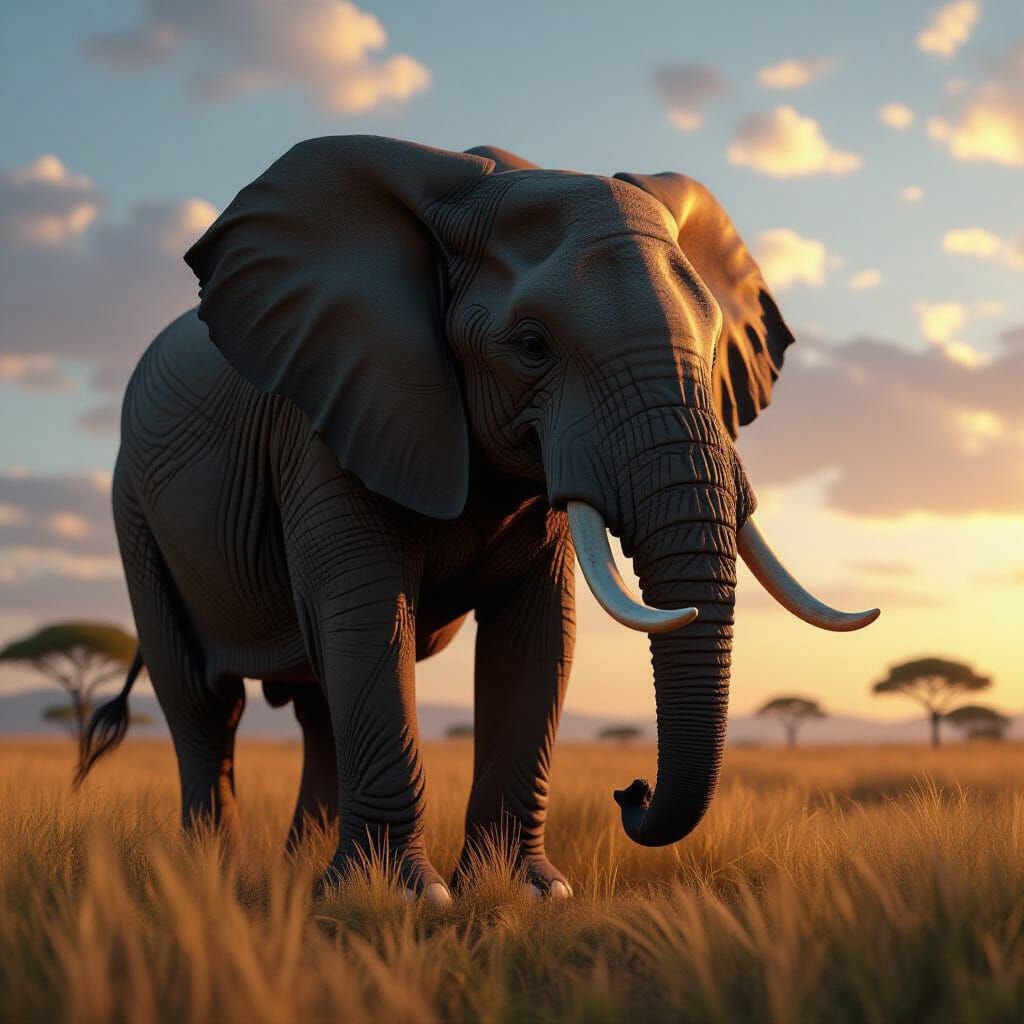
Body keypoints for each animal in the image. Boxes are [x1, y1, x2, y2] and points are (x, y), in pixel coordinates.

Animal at [78, 135, 878, 903]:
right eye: (530, 347)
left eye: (715, 350)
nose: (630, 789)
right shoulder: (327, 418)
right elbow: (369, 618)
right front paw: (403, 900)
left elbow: (538, 633)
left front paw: (524, 894)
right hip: (133, 510)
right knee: (205, 700)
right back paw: (216, 881)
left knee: (313, 707)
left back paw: (298, 874)